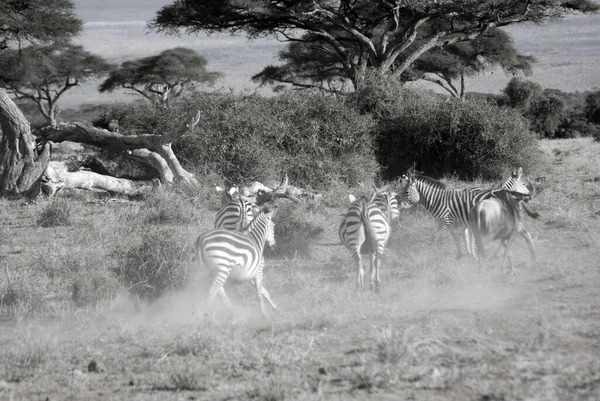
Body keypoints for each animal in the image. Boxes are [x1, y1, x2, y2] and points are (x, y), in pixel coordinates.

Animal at [400, 168, 532, 258]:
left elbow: (436, 237)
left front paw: (432, 254)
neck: (438, 200)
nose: (399, 203)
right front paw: (462, 255)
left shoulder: (447, 223)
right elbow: (455, 239)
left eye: (406, 192)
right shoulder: (449, 224)